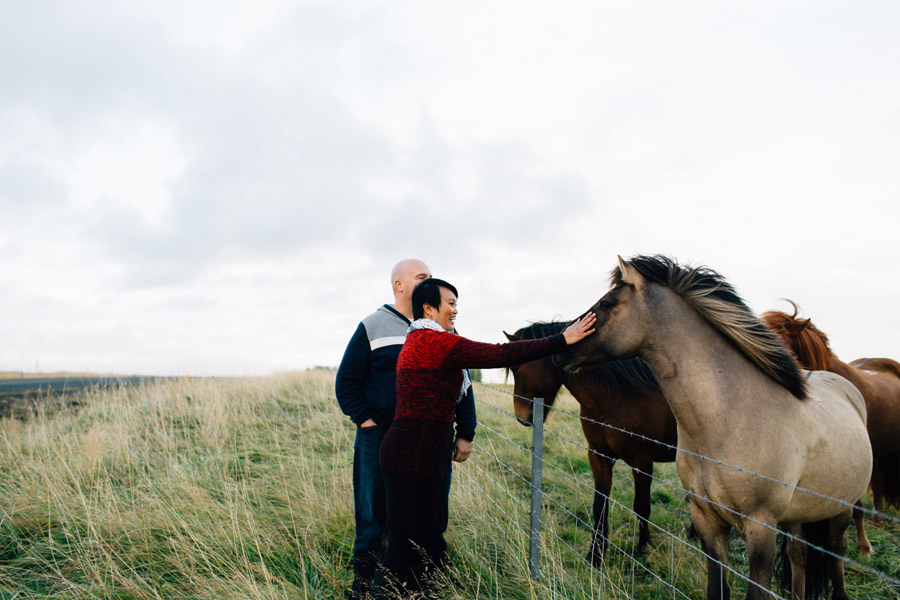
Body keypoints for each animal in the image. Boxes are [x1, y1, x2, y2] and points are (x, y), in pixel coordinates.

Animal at [506, 324, 676, 564]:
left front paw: (643, 549)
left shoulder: (642, 462)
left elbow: (642, 506)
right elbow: (600, 504)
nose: (522, 417)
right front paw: (595, 554)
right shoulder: (598, 455)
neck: (617, 397)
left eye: (516, 367)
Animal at [556, 255, 872, 600]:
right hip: (797, 516)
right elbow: (716, 587)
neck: (727, 420)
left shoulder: (761, 528)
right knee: (798, 556)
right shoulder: (707, 520)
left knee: (836, 551)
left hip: (840, 509)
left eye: (607, 303)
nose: (561, 350)